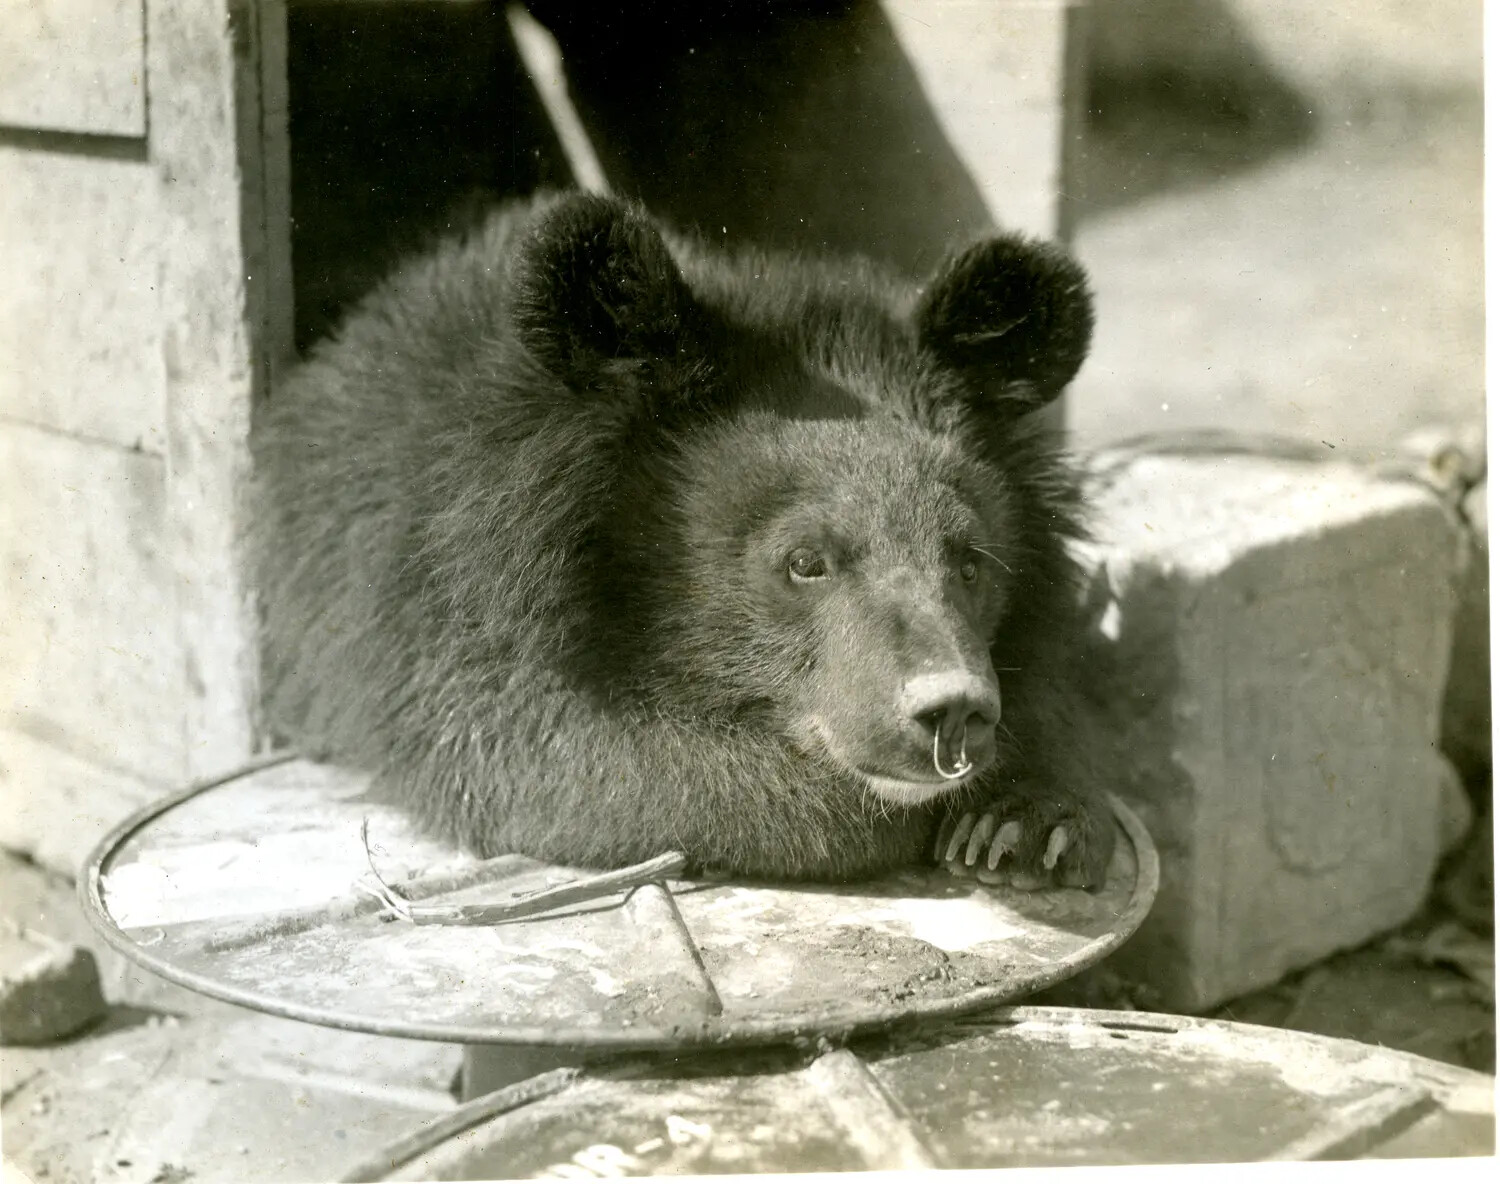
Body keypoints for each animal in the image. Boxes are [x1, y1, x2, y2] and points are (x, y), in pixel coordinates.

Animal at [249, 191, 1116, 889]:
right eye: (804, 563)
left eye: (971, 563)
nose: (953, 713)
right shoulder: (453, 605)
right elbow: (537, 753)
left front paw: (1023, 824)